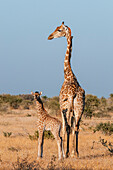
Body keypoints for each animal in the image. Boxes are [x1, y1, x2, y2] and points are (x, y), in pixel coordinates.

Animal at [47, 21, 85, 157]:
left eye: (59, 30)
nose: (49, 36)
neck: (68, 75)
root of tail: (73, 93)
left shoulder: (61, 107)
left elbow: (64, 127)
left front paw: (65, 152)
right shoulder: (74, 109)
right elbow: (72, 127)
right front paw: (72, 151)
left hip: (67, 108)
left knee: (67, 127)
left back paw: (67, 152)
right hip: (79, 108)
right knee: (76, 127)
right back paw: (76, 153)